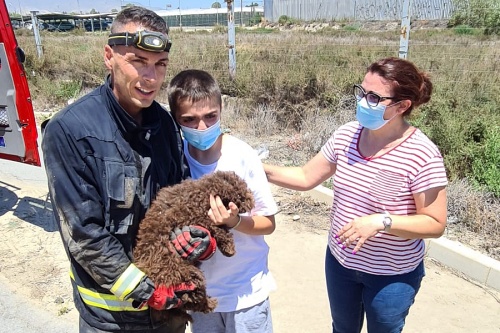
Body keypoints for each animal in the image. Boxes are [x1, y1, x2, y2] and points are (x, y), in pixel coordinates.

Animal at [133, 170, 254, 320]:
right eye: (240, 196)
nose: (252, 201)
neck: (204, 191)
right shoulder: (196, 215)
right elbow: (218, 229)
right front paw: (229, 248)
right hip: (188, 277)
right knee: (192, 299)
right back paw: (209, 304)